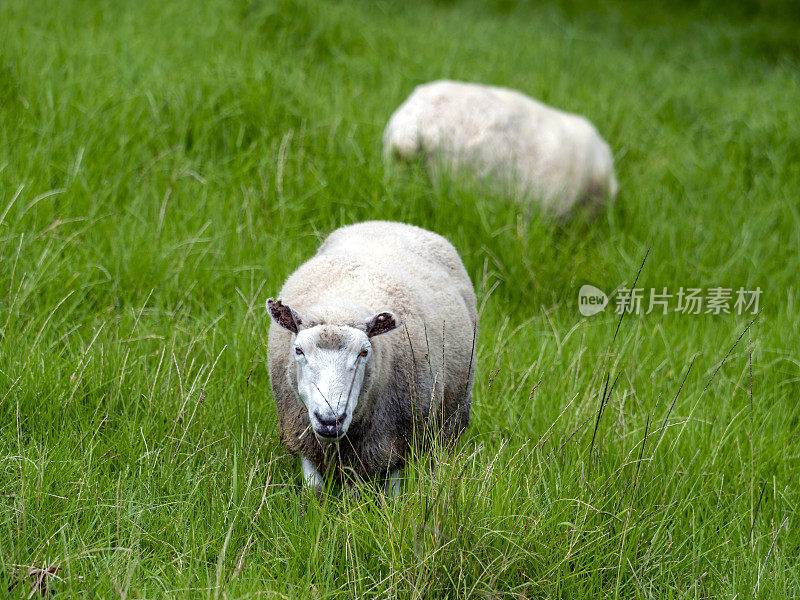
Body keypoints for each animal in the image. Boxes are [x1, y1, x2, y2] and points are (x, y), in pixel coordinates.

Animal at [266, 220, 478, 492]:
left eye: (364, 352)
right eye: (298, 350)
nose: (329, 420)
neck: (342, 302)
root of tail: (390, 223)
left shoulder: (397, 439)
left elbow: (389, 492)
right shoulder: (303, 432)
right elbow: (315, 489)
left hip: (447, 421)